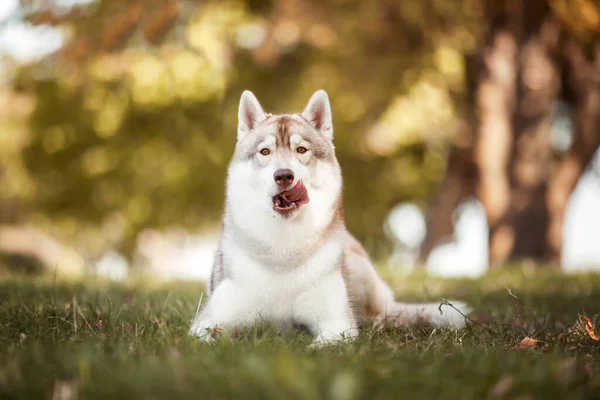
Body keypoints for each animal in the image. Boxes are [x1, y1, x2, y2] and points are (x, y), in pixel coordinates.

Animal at [190, 90, 472, 344]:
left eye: (301, 149)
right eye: (265, 152)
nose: (284, 175)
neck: (284, 249)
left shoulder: (337, 323)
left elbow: (322, 344)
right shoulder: (208, 321)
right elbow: (207, 336)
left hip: (358, 270)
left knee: (385, 314)